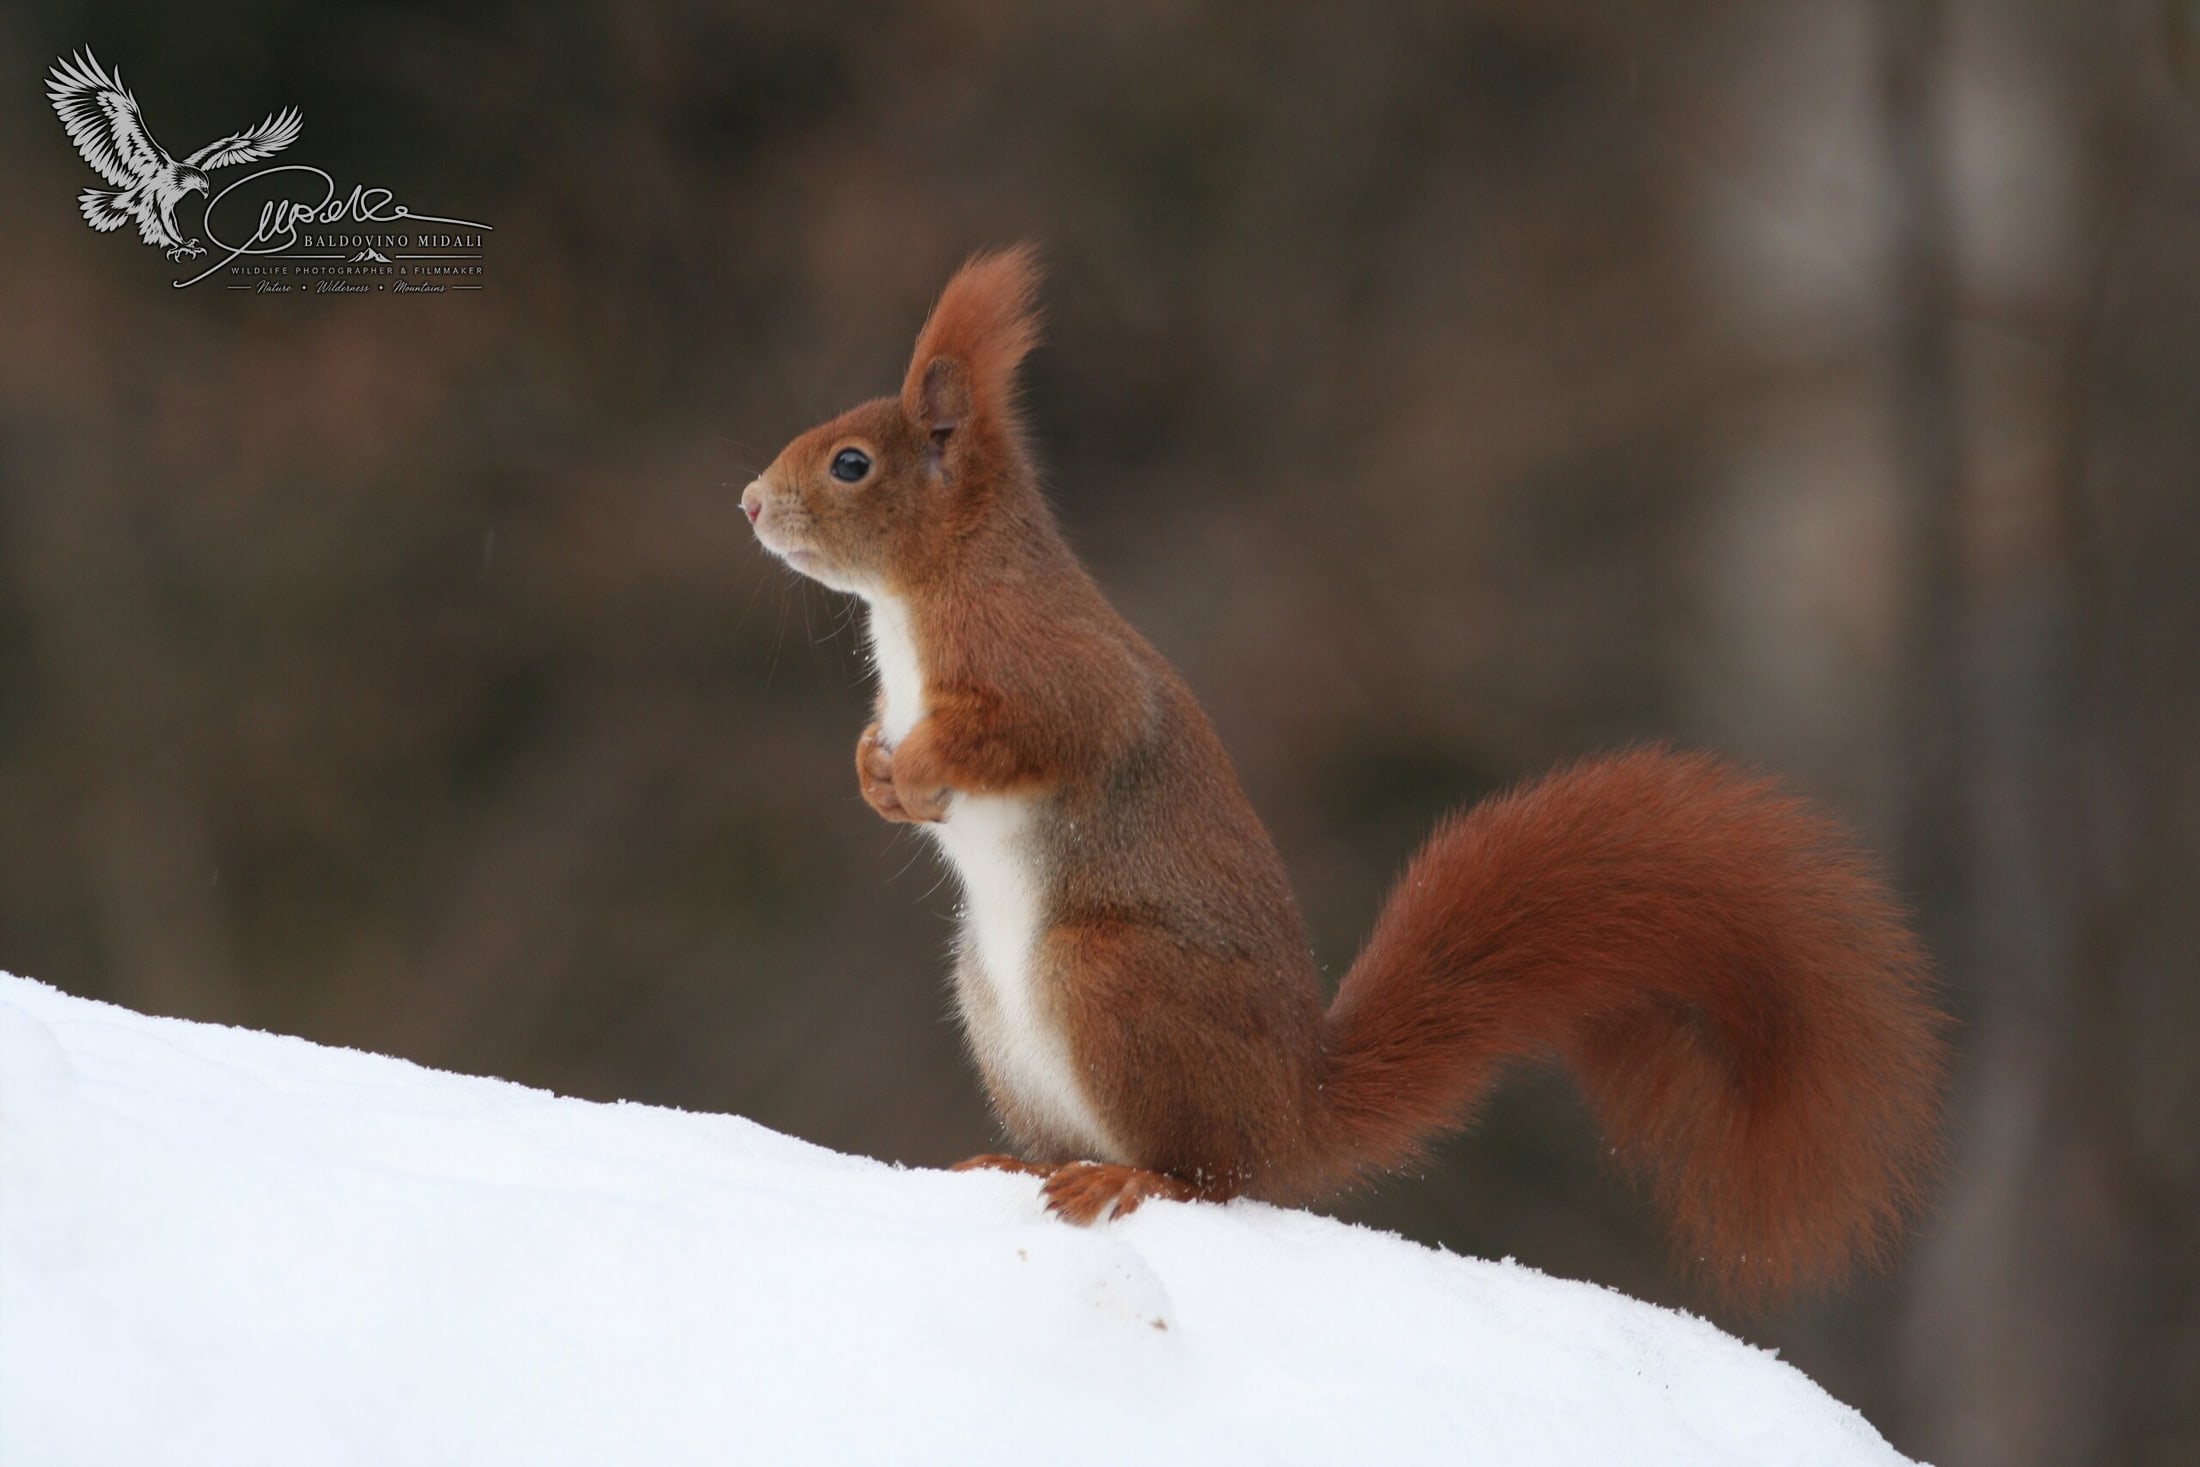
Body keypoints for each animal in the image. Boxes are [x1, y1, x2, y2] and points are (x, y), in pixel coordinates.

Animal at [739, 245, 1948, 1305]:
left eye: (851, 464)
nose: (749, 502)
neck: (917, 601)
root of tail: (1290, 1110)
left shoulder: (1044, 660)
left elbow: (1061, 729)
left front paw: (921, 766)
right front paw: (877, 773)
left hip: (1110, 976)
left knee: (1207, 1177)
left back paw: (1126, 1175)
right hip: (995, 1008)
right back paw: (1017, 1164)